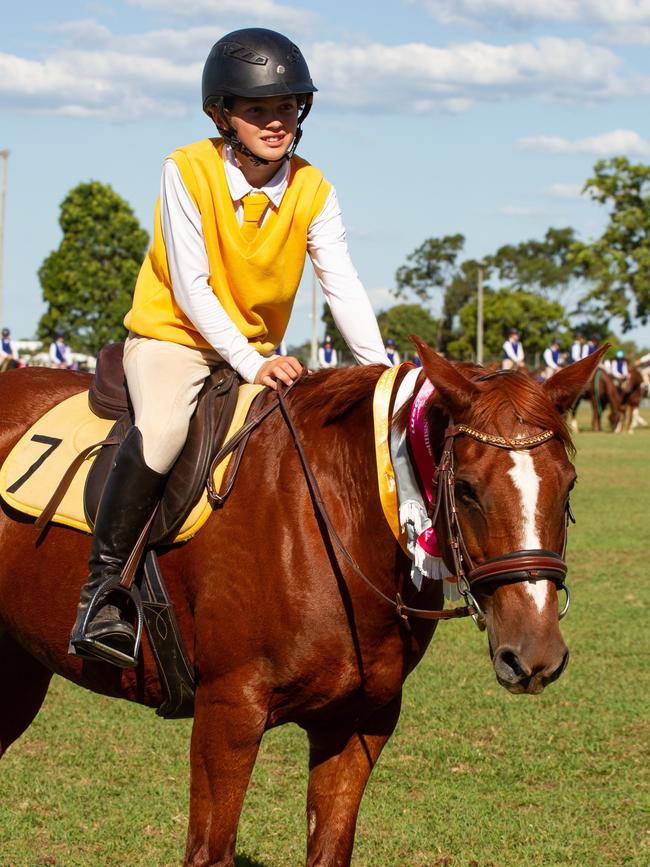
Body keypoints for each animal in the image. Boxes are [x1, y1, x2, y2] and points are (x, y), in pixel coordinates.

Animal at [0, 342, 604, 864]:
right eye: (468, 489)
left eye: (570, 485)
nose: (534, 655)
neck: (339, 514)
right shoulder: (228, 714)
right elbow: (208, 851)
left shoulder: (358, 722)